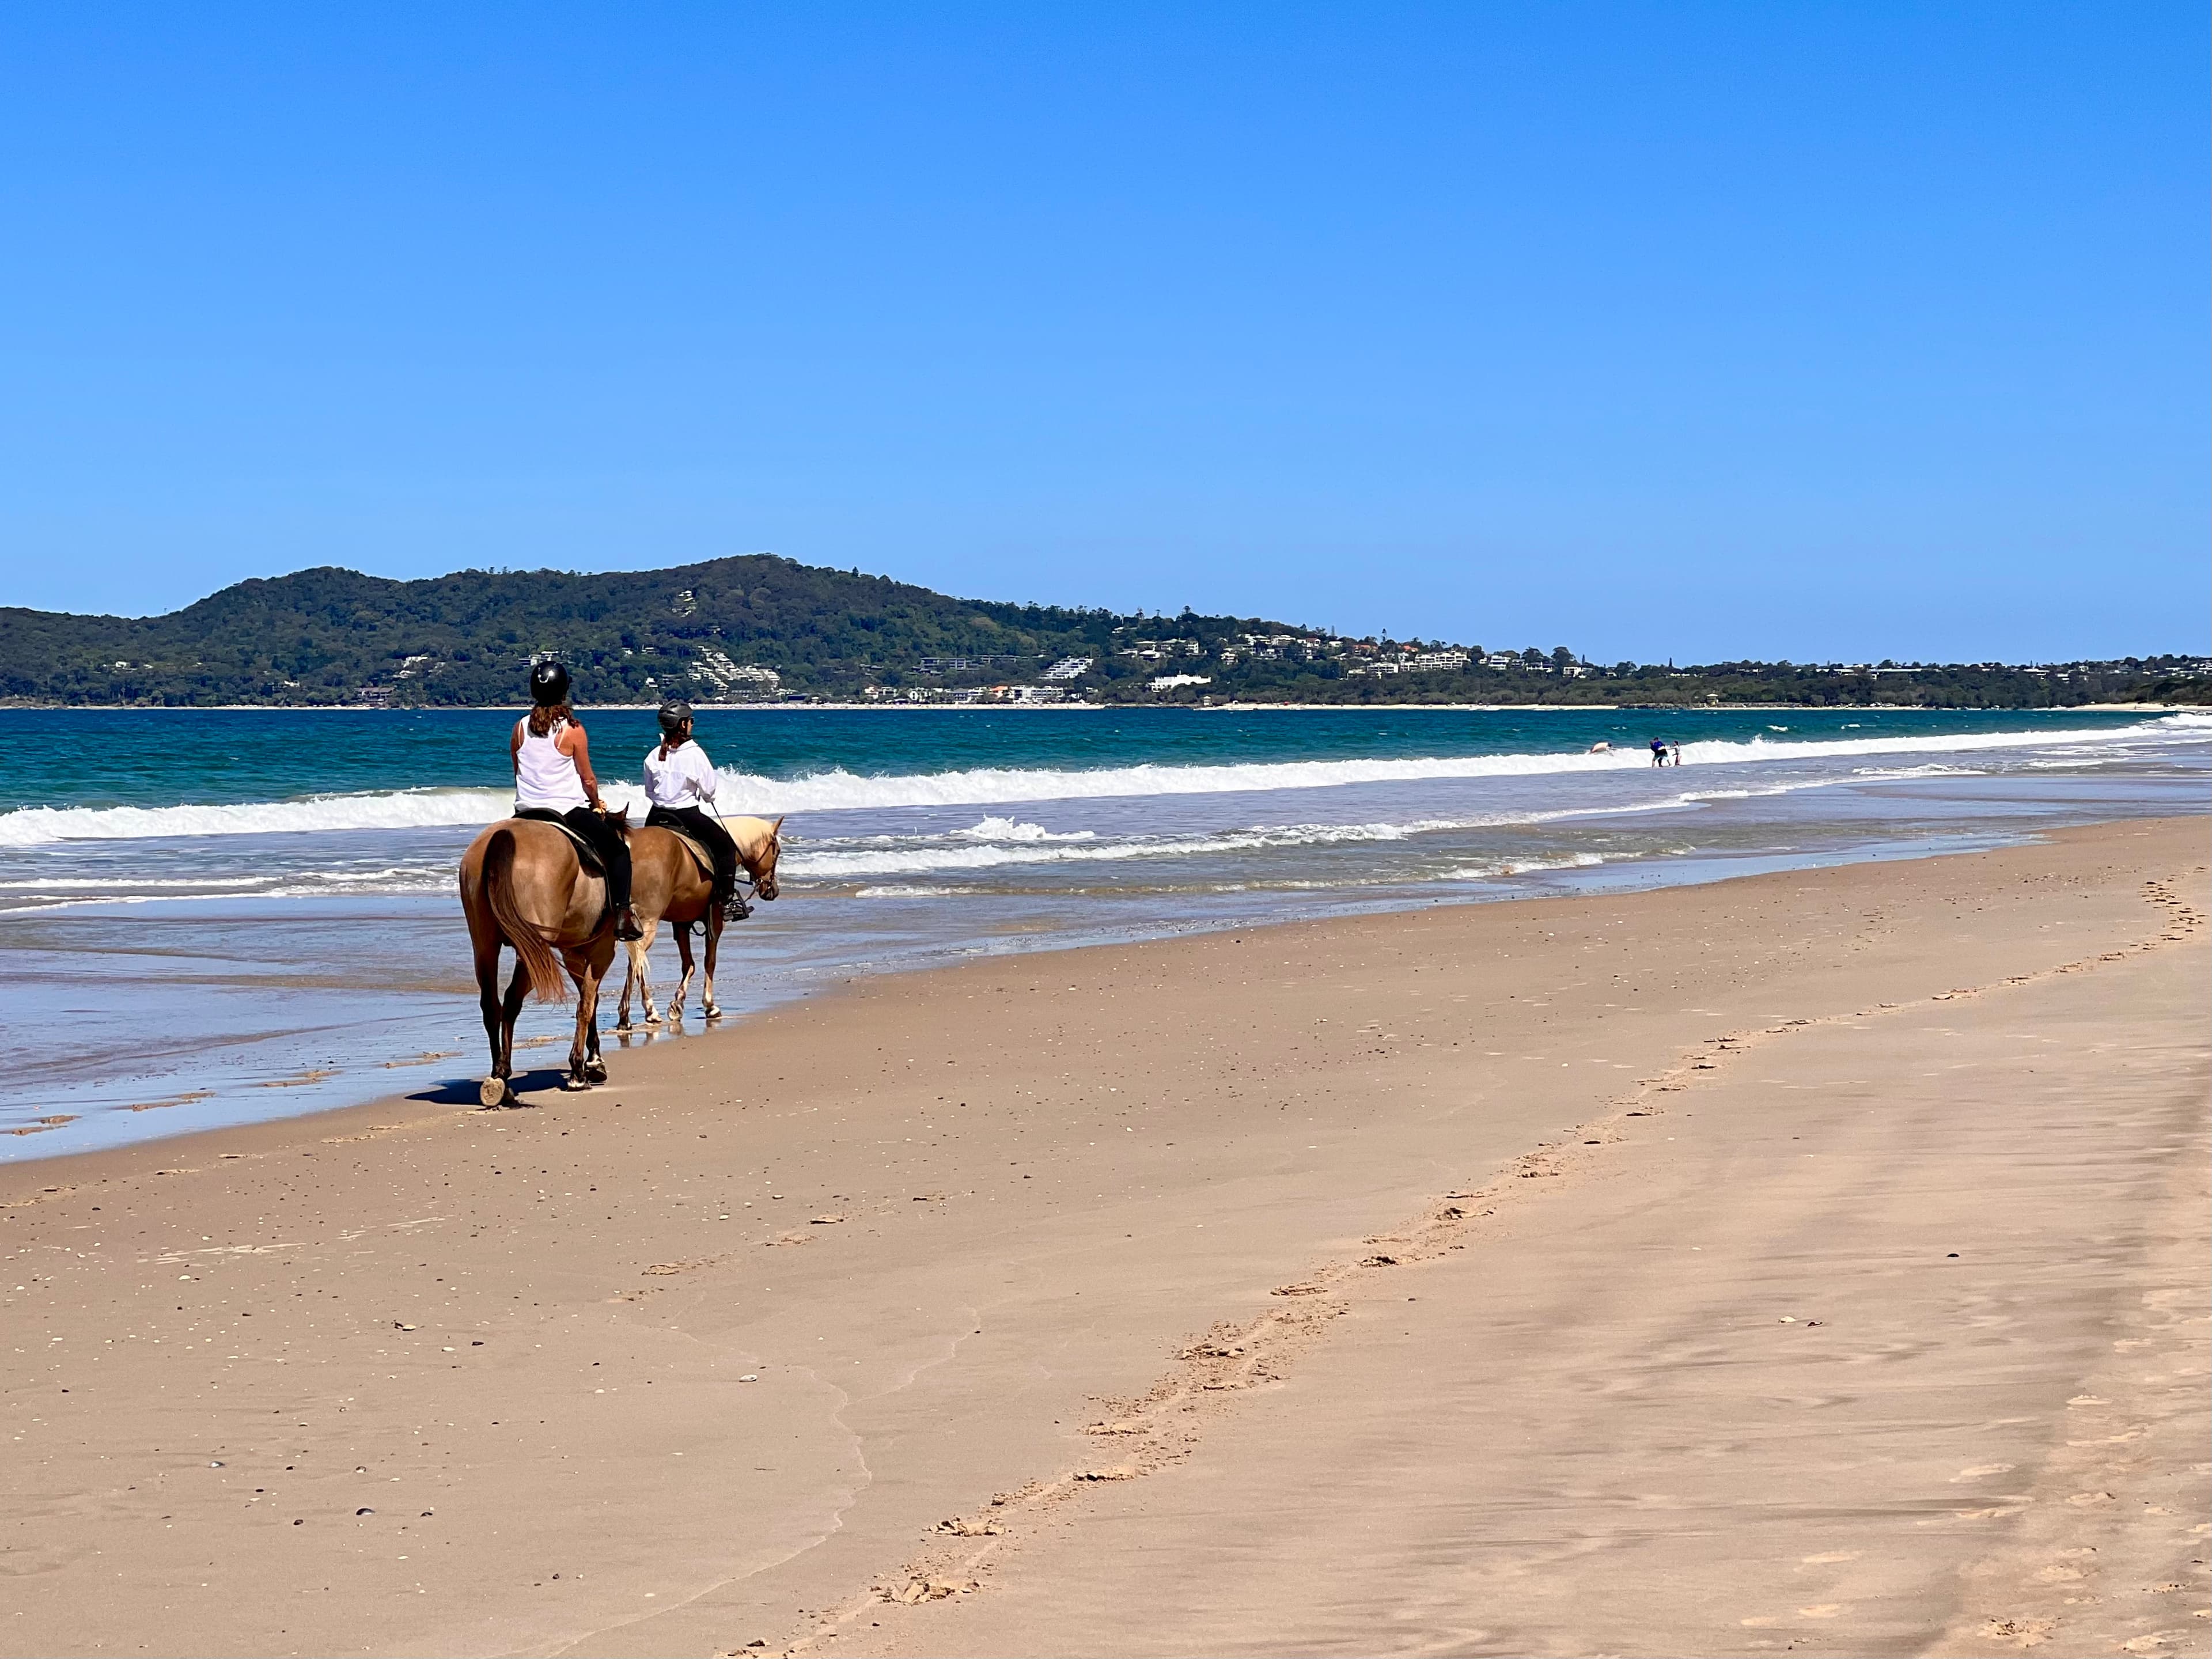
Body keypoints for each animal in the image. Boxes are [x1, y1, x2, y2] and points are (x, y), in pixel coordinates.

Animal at [456, 813, 629, 1106]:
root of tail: (504, 834)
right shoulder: (602, 951)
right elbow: (587, 1003)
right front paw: (584, 1068)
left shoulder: (572, 954)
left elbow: (588, 1000)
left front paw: (589, 1064)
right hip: (532, 950)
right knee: (512, 1001)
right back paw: (503, 1076)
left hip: (485, 946)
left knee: (492, 1005)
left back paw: (498, 1078)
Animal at [616, 815, 783, 1030]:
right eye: (777, 851)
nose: (773, 890)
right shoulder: (715, 920)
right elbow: (709, 962)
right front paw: (710, 1006)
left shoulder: (682, 923)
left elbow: (689, 964)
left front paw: (677, 1004)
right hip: (648, 922)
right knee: (638, 960)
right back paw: (649, 1011)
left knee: (635, 962)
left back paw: (626, 1015)